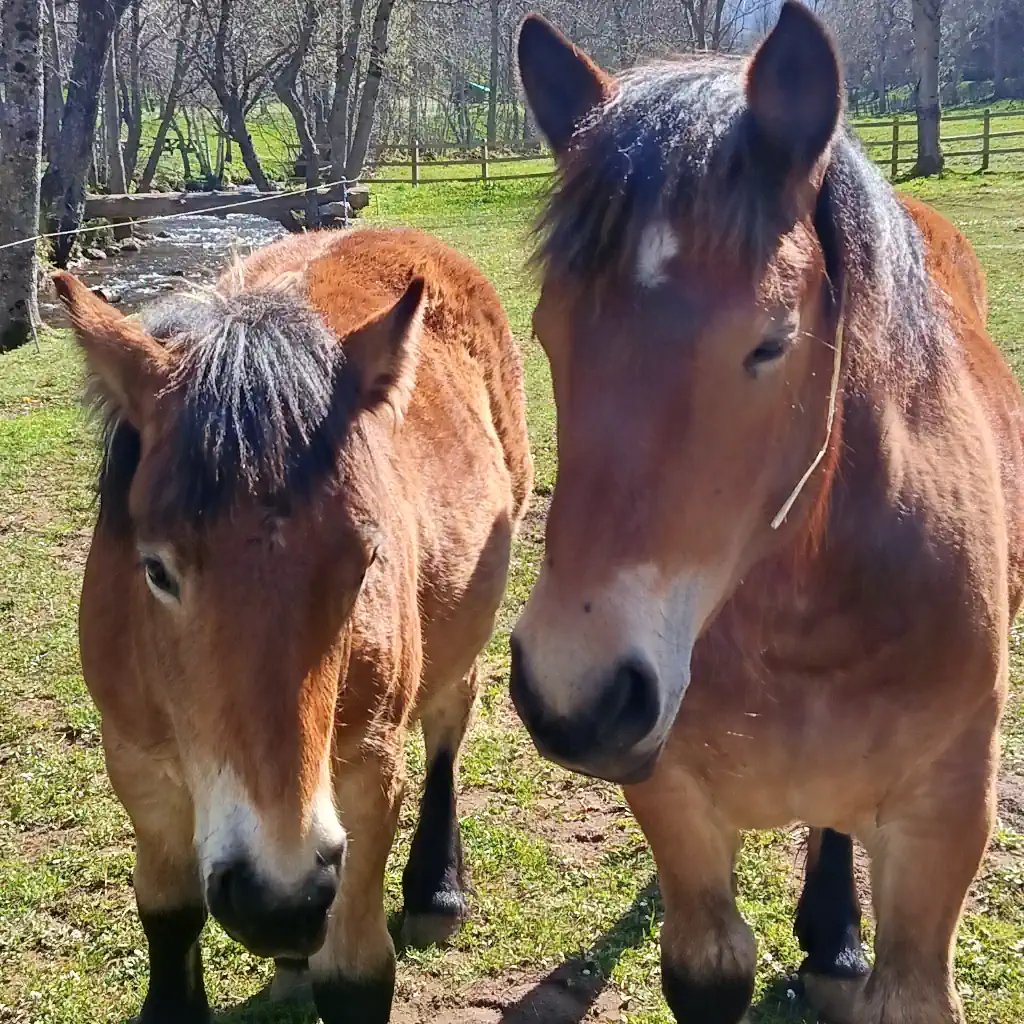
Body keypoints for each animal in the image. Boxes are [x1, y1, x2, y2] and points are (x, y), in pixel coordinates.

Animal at [53, 225, 532, 1024]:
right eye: (155, 569)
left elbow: (358, 974)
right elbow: (170, 915)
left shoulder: (369, 773)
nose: (275, 898)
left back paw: (436, 888)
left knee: (450, 717)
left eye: (365, 565)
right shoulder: (138, 766)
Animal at [510, 5, 1024, 1023]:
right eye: (550, 330)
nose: (574, 695)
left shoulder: (942, 826)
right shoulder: (676, 805)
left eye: (772, 342)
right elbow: (710, 969)